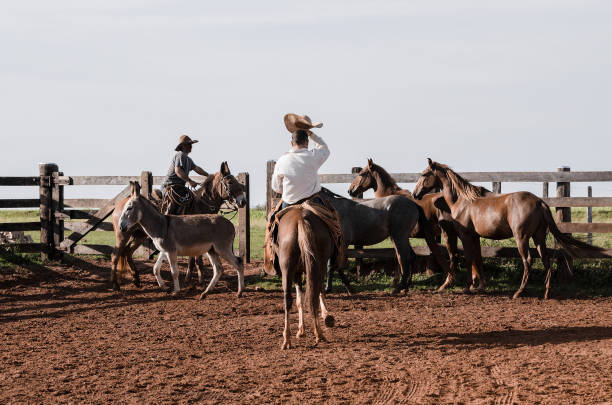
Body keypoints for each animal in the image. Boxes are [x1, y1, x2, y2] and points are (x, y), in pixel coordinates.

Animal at [110, 161, 246, 290]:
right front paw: (199, 280)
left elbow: (192, 259)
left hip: (138, 236)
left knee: (127, 252)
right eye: (230, 182)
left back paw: (136, 279)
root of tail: (118, 205)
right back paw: (116, 284)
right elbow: (197, 260)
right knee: (115, 255)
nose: (243, 201)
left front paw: (190, 279)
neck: (200, 204)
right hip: (123, 235)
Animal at [274, 207, 338, 348]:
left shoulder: (296, 273)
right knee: (315, 294)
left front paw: (301, 331)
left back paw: (287, 339)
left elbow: (299, 300)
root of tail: (300, 219)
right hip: (319, 265)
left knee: (288, 299)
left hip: (288, 269)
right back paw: (319, 333)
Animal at [320, 186, 450, 294]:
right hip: (399, 237)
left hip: (399, 237)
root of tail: (413, 204)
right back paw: (406, 287)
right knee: (411, 257)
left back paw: (399, 288)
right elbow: (331, 265)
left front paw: (339, 289)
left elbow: (336, 265)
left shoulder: (343, 243)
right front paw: (337, 288)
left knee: (404, 258)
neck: (335, 209)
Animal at [346, 159, 490, 290]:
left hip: (450, 233)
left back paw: (450, 283)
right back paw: (475, 281)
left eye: (362, 174)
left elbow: (399, 257)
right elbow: (407, 257)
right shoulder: (404, 237)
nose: (350, 190)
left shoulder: (396, 237)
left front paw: (398, 282)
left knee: (455, 255)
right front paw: (406, 281)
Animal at [412, 159, 604, 298]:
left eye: (424, 174)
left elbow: (468, 259)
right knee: (545, 260)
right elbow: (478, 259)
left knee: (528, 261)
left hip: (522, 238)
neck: (463, 200)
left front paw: (468, 287)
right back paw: (546, 292)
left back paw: (519, 292)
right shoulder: (475, 236)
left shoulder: (465, 235)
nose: (415, 194)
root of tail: (539, 202)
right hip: (539, 238)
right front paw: (480, 286)